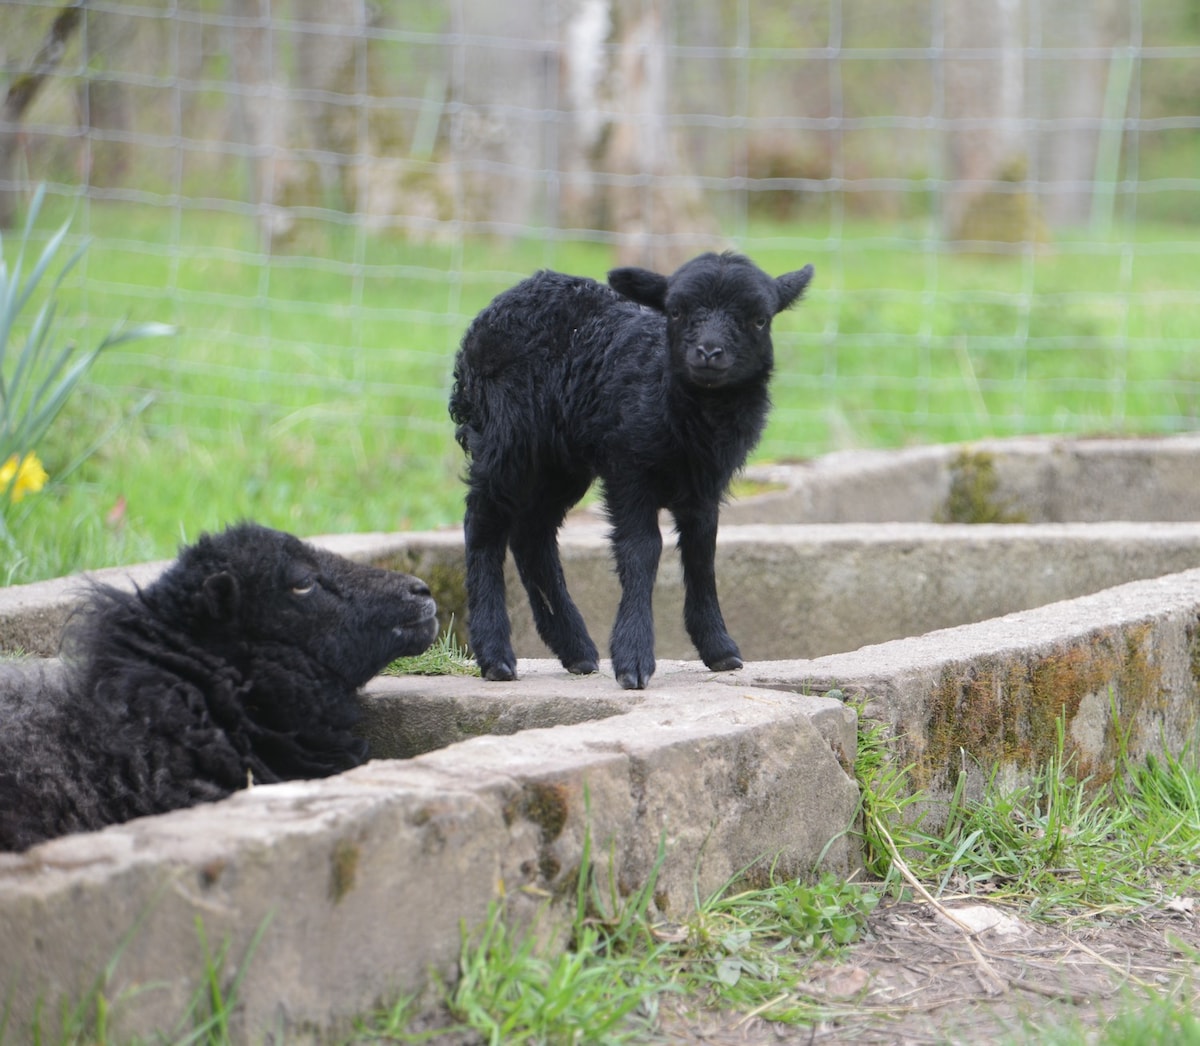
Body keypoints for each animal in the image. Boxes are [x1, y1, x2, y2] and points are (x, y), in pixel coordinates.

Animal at [451, 249, 816, 690]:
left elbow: (702, 552)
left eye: (759, 319)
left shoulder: (707, 481)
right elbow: (643, 549)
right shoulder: (628, 467)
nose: (709, 352)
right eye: (676, 311)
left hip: (560, 460)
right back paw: (496, 655)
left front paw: (718, 648)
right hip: (507, 436)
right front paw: (634, 658)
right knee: (484, 521)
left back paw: (575, 649)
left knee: (532, 533)